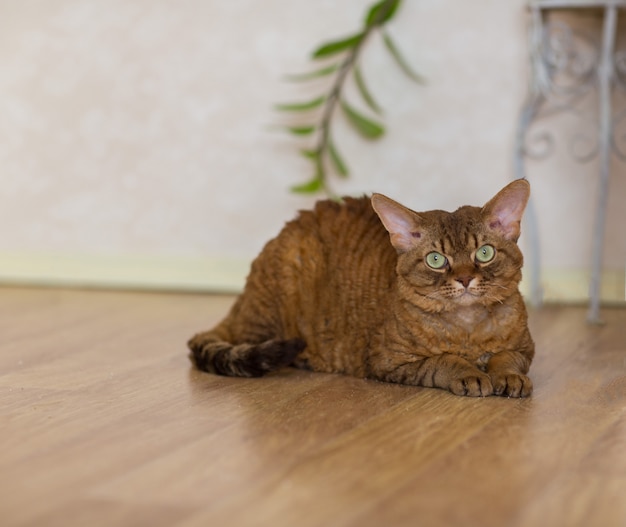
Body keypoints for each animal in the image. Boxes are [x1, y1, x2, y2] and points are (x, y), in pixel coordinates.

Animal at [188, 179, 532, 398]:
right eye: (436, 259)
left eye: (484, 253)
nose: (464, 279)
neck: (467, 329)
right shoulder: (389, 360)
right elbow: (442, 361)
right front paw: (469, 373)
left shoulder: (526, 348)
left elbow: (508, 357)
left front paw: (507, 376)